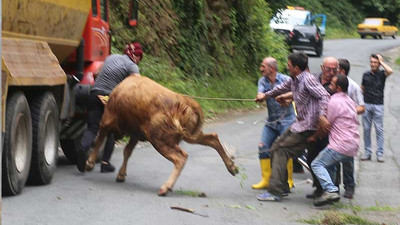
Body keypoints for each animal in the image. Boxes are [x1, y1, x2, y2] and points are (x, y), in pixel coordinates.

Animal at [85, 75, 238, 195]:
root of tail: (186, 101)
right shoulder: (136, 134)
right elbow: (127, 151)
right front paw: (121, 175)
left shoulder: (105, 122)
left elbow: (98, 141)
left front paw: (89, 163)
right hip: (190, 135)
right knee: (212, 138)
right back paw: (232, 168)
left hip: (160, 139)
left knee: (181, 157)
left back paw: (165, 187)